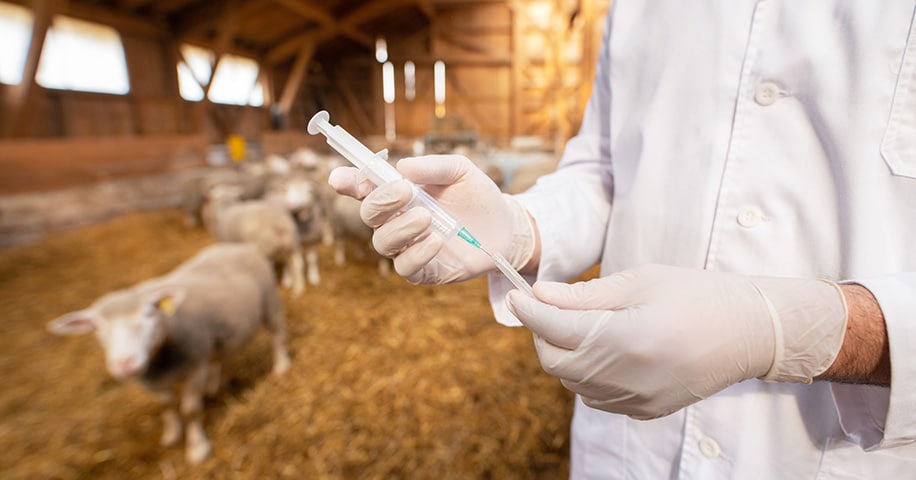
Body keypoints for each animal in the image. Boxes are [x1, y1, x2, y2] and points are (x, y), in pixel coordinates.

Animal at [46, 244, 292, 464]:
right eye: (97, 327)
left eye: (149, 313)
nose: (125, 363)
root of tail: (236, 246)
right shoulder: (150, 380)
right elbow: (166, 403)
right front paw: (172, 433)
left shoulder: (195, 365)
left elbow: (190, 410)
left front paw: (197, 449)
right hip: (217, 335)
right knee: (217, 358)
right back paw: (213, 385)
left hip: (270, 303)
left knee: (277, 335)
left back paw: (281, 366)